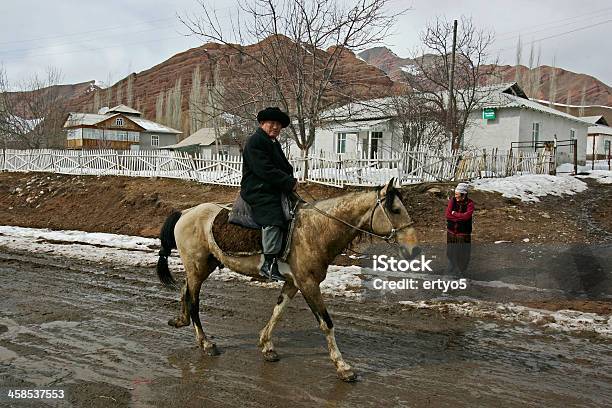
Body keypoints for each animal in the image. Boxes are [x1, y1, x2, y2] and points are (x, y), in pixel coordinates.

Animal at [155, 177, 418, 380]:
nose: (414, 250)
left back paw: (181, 320)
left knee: (185, 291)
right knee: (194, 301)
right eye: (395, 210)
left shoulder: (293, 283)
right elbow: (327, 323)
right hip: (197, 267)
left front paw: (266, 345)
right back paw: (206, 343)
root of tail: (186, 212)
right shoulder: (308, 284)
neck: (317, 229)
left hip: (201, 267)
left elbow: (278, 312)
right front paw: (343, 367)